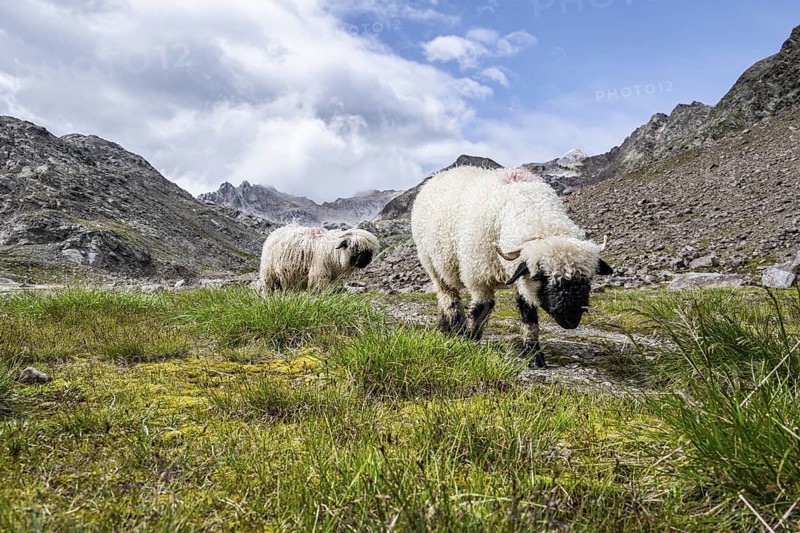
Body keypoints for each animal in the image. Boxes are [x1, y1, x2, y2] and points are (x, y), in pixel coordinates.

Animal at [411, 166, 613, 368]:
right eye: (540, 276)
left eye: (587, 277)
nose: (571, 319)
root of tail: (440, 174)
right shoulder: (478, 276)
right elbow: (482, 308)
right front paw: (470, 339)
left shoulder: (521, 278)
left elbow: (528, 314)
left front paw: (533, 354)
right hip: (432, 264)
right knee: (447, 296)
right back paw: (453, 327)